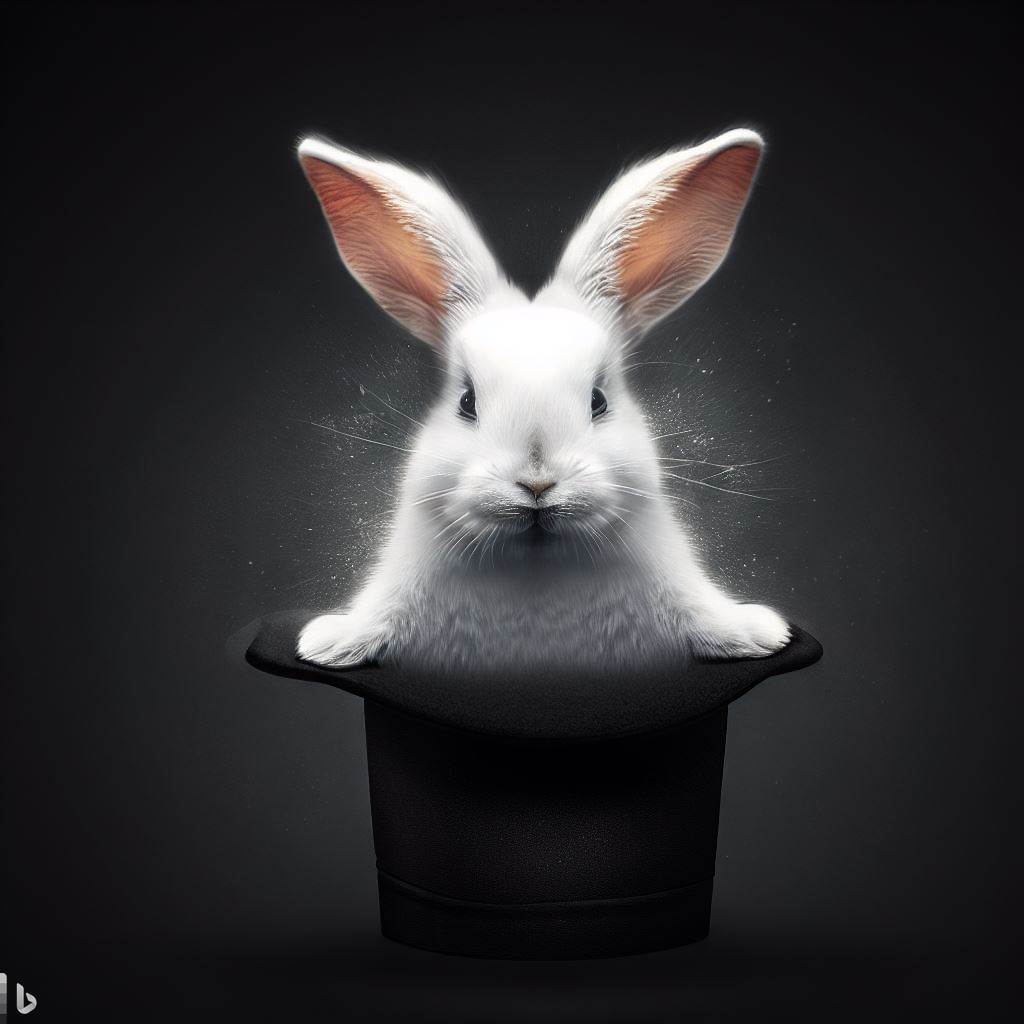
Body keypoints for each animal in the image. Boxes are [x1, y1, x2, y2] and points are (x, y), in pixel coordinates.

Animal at [293, 129, 791, 673]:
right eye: (466, 401)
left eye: (598, 400)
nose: (536, 482)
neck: (535, 566)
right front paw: (329, 644)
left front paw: (760, 634)